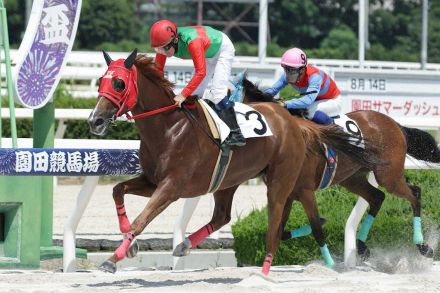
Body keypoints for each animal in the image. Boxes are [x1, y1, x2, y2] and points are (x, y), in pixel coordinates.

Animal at [87, 49, 380, 272]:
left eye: (119, 83)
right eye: (100, 80)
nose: (95, 120)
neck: (170, 128)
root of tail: (291, 119)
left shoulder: (171, 187)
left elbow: (142, 219)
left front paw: (113, 259)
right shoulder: (152, 180)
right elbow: (117, 190)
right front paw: (130, 245)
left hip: (279, 179)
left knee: (274, 221)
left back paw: (264, 270)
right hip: (229, 180)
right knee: (223, 216)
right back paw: (184, 245)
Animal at [242, 76, 438, 266]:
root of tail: (395, 124)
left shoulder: (305, 191)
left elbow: (316, 228)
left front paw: (329, 261)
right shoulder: (287, 194)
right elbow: (280, 231)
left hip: (388, 176)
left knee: (415, 194)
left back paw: (423, 247)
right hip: (352, 178)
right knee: (377, 197)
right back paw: (362, 246)